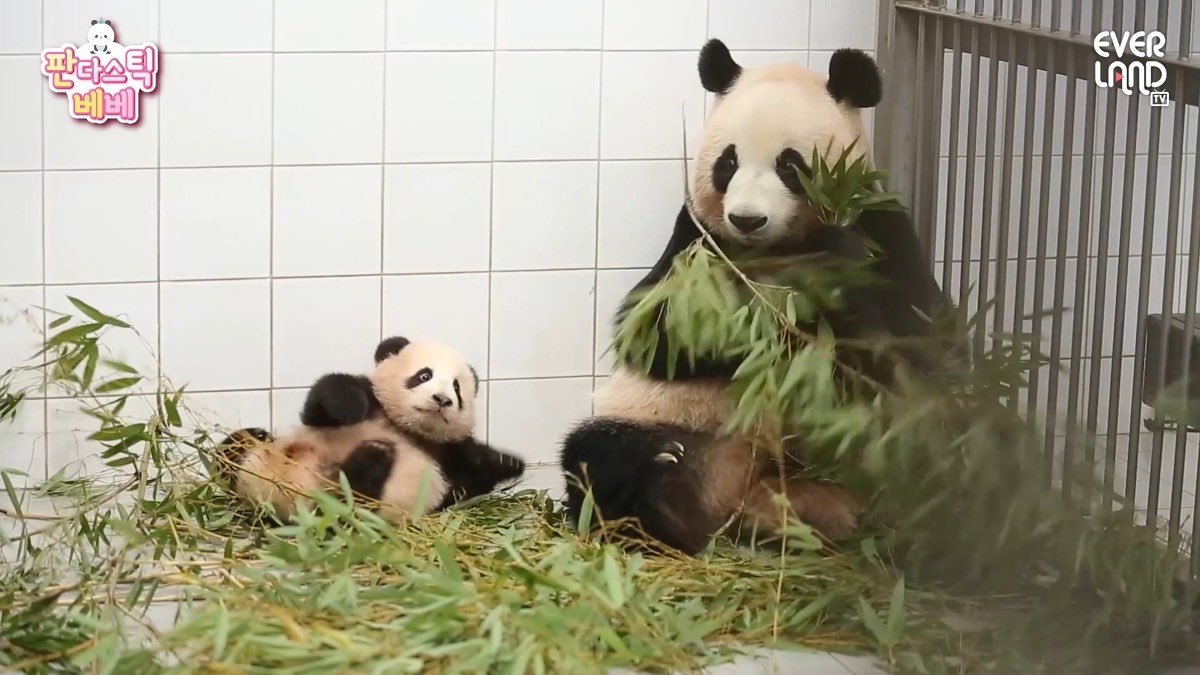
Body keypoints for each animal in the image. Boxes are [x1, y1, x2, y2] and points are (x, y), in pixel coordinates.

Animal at [219, 336, 525, 521]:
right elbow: (326, 398)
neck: (407, 430)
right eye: (424, 375)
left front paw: (506, 461)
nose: (442, 399)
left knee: (351, 503)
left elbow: (462, 484)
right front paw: (346, 405)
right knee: (234, 452)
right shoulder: (371, 402)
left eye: (457, 388)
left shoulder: (447, 456)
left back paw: (373, 457)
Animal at [556, 40, 950, 552]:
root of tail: (739, 502)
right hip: (665, 418)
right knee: (597, 455)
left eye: (790, 165)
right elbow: (649, 329)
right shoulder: (696, 240)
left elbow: (921, 338)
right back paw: (664, 495)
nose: (747, 219)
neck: (778, 250)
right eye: (728, 163)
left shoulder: (883, 225)